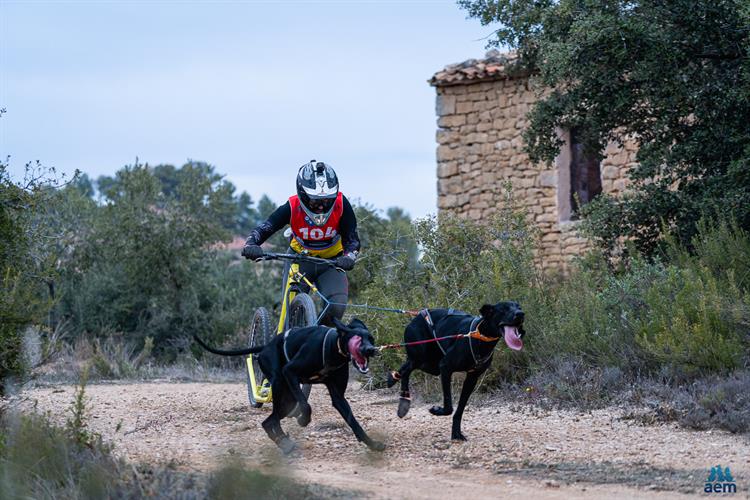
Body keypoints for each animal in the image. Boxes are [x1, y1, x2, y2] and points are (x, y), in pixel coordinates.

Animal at [195, 318, 382, 456]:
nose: (371, 350)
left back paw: (284, 442)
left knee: (268, 421)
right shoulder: (290, 372)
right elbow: (306, 404)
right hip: (281, 384)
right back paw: (285, 443)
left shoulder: (338, 397)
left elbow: (353, 422)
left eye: (371, 338)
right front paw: (303, 419)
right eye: (358, 338)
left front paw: (372, 444)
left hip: (287, 399)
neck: (332, 347)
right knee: (272, 420)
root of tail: (266, 347)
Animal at [390, 298, 524, 440]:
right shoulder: (445, 367)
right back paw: (399, 391)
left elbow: (459, 410)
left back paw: (398, 389)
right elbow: (449, 406)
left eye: (519, 307)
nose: (521, 314)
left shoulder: (471, 379)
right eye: (504, 309)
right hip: (422, 358)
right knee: (406, 370)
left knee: (405, 368)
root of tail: (416, 318)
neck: (480, 336)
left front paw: (456, 433)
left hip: (429, 363)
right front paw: (437, 410)